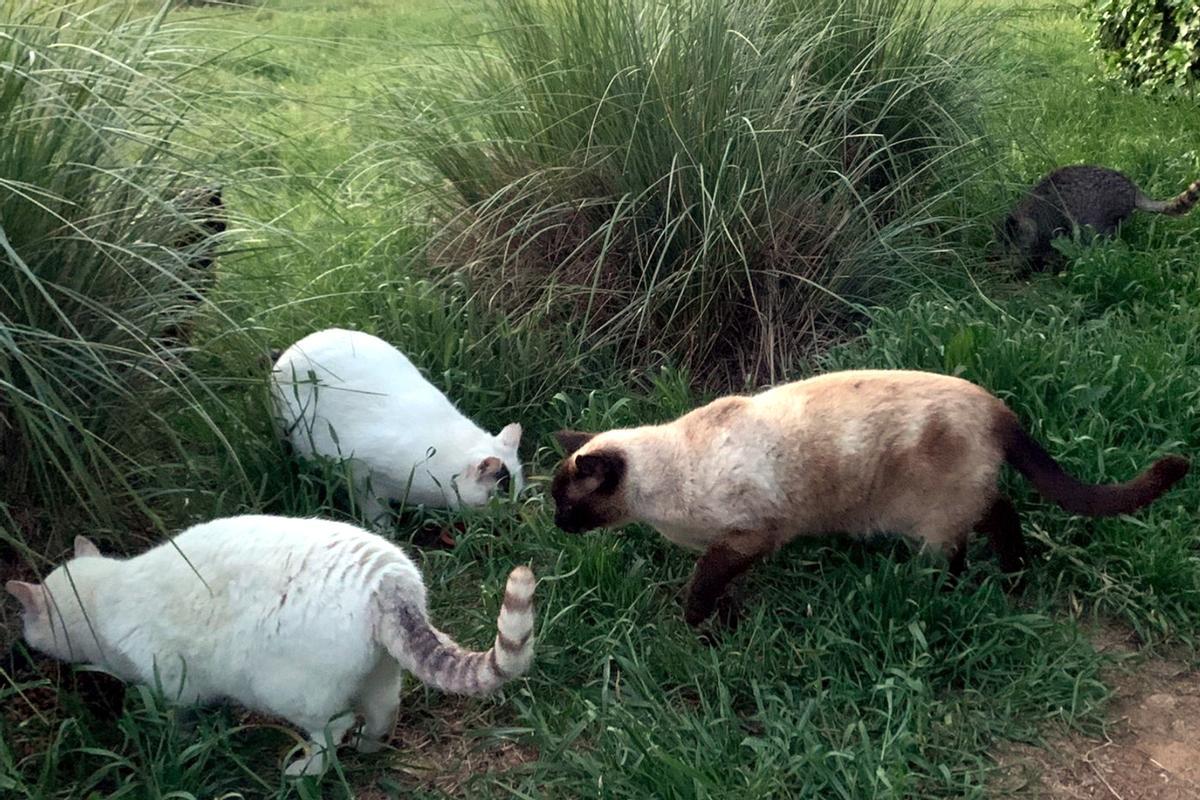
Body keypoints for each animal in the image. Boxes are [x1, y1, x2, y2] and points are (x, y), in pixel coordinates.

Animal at [3, 515, 540, 777]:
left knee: (334, 726)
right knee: (383, 709)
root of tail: (387, 583)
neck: (108, 592)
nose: (21, 637)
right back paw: (370, 747)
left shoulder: (170, 682)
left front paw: (176, 741)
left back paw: (306, 770)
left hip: (284, 690)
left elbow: (176, 720)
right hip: (380, 670)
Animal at [272, 328, 525, 527]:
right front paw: (385, 532)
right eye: (498, 499)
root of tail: (293, 348)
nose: (513, 516)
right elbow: (376, 512)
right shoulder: (363, 477)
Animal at [552, 369, 1190, 623]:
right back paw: (1013, 579)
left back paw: (936, 596)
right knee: (1002, 515)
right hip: (960, 500)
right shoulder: (735, 546)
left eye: (567, 503)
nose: (557, 527)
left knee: (963, 548)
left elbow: (701, 584)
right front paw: (727, 622)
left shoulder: (748, 536)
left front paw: (698, 626)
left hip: (934, 516)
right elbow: (718, 587)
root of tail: (996, 406)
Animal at [998, 165, 1200, 272]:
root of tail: (1131, 187)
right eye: (1004, 248)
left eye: (1016, 247)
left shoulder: (1053, 228)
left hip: (1095, 222)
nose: (1010, 263)